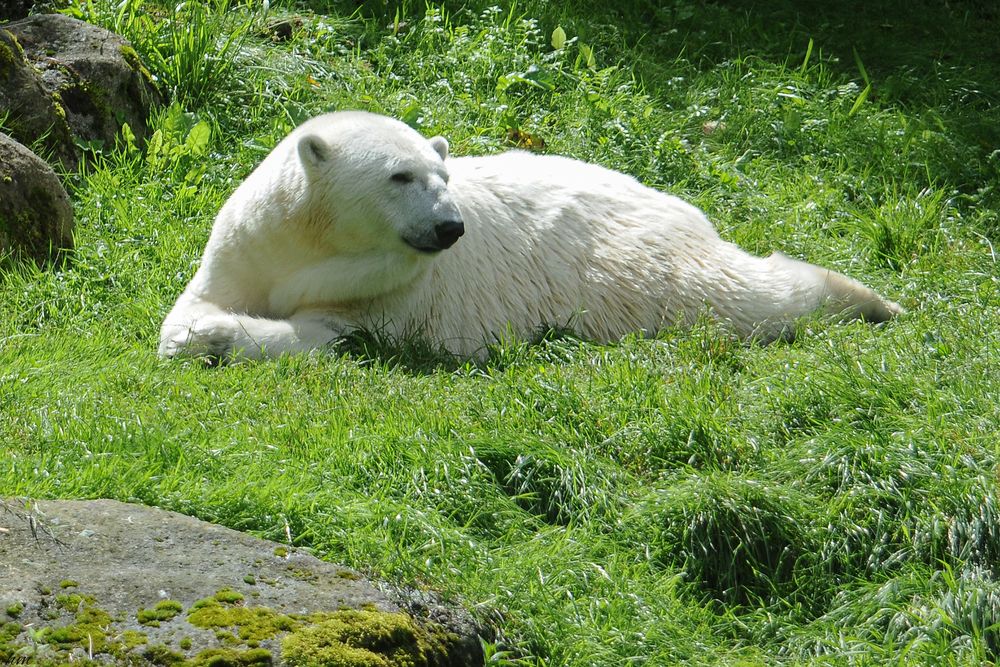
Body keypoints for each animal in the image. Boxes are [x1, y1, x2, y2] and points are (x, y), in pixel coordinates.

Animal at [158, 111, 908, 360]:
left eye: (443, 175)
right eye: (401, 175)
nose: (451, 226)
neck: (313, 243)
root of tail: (684, 207)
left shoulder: (385, 293)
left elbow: (321, 333)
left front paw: (225, 337)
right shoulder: (249, 239)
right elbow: (189, 308)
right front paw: (200, 330)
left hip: (635, 269)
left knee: (738, 297)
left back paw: (870, 300)